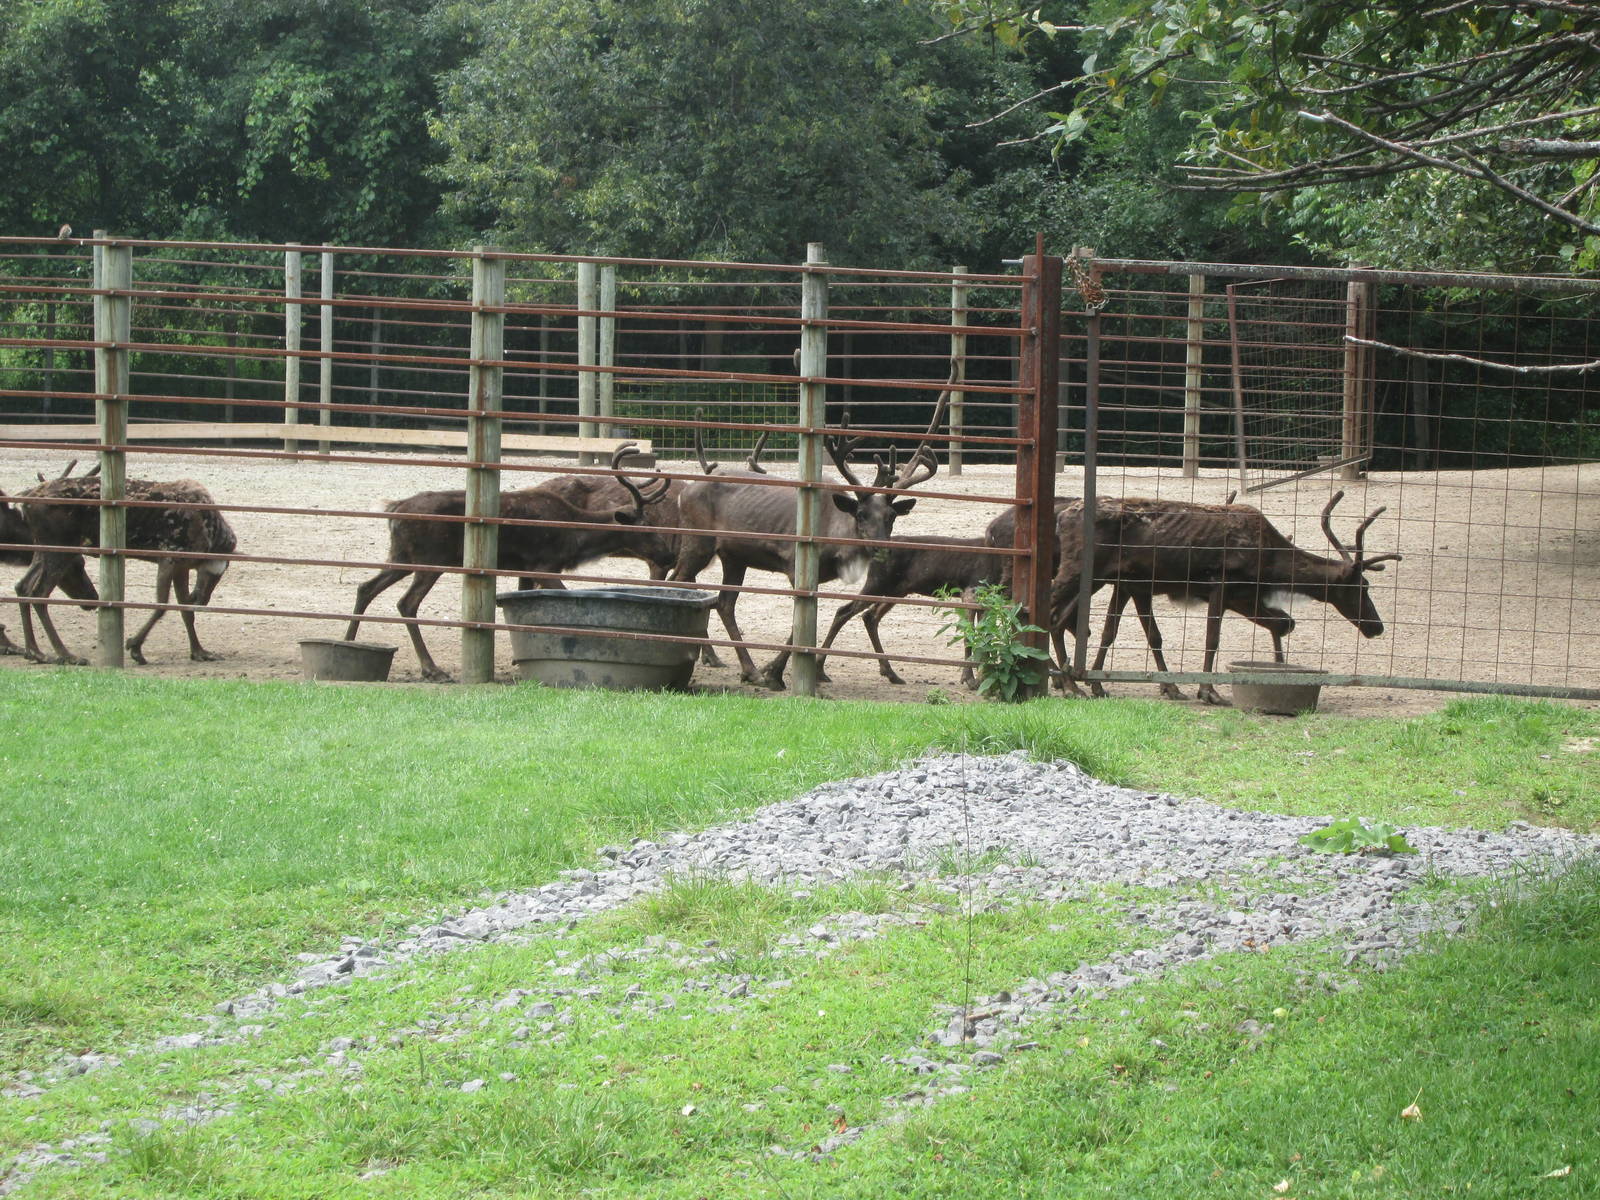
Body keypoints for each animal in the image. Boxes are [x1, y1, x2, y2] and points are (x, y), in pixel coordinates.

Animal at [9, 469, 237, 665]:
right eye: (219, 574)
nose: (201, 600)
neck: (210, 537)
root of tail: (25, 502)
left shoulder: (182, 566)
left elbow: (185, 610)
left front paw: (200, 652)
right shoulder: (168, 558)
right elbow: (161, 606)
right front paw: (134, 646)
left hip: (43, 548)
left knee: (23, 586)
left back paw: (35, 652)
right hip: (60, 547)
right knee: (38, 593)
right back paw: (66, 655)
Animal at [343, 443, 669, 681]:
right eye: (645, 526)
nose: (667, 552)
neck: (576, 537)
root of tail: (393, 510)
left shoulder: (524, 568)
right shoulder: (544, 565)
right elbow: (563, 598)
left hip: (402, 556)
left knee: (366, 587)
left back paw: (348, 642)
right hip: (430, 560)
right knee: (406, 602)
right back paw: (432, 669)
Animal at [669, 384, 950, 690]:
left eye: (891, 516)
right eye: (860, 514)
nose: (882, 549)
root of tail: (685, 491)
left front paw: (776, 671)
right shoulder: (795, 565)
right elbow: (799, 625)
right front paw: (774, 673)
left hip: (734, 557)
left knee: (723, 603)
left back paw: (748, 669)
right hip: (698, 542)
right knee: (678, 580)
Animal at [1047, 491, 1401, 704]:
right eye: (1362, 586)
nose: (1377, 627)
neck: (1269, 560)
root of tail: (1062, 516)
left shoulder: (1135, 584)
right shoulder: (1222, 583)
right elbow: (1212, 638)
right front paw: (1208, 691)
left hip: (1094, 577)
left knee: (1061, 618)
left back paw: (1069, 681)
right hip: (1078, 571)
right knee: (1049, 613)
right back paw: (1066, 684)